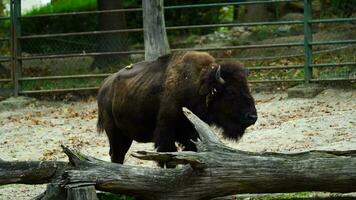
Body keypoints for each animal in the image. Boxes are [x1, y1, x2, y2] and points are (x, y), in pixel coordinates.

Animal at [98, 50, 256, 166]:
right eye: (231, 92)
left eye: (247, 88)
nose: (252, 117)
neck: (198, 84)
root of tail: (105, 85)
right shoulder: (166, 134)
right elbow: (168, 156)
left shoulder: (192, 134)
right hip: (115, 134)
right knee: (116, 154)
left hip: (126, 136)